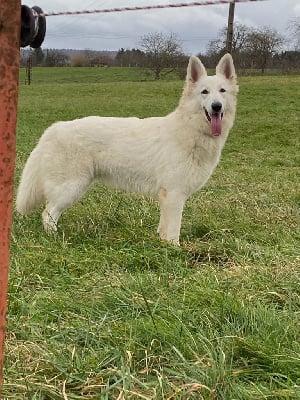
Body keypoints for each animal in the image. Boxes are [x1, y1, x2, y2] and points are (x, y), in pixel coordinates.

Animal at [17, 54, 239, 244]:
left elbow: (163, 229)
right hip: (70, 188)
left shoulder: (167, 198)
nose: (217, 106)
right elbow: (174, 231)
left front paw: (162, 247)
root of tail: (53, 129)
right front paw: (175, 251)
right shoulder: (174, 194)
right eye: (204, 92)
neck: (190, 130)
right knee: (48, 214)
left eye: (222, 91)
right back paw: (56, 240)